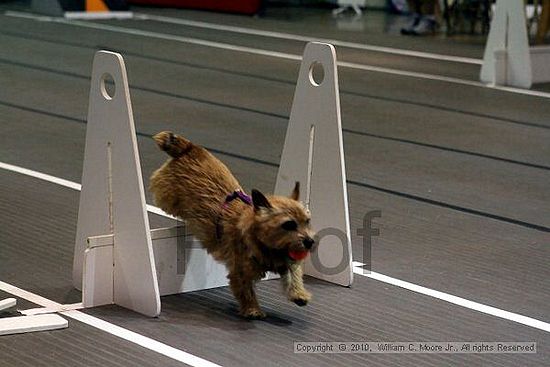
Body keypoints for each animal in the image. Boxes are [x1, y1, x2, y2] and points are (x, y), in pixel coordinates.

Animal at [150, 132, 314, 320]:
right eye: (289, 225)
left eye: (307, 221)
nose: (310, 242)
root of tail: (191, 148)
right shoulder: (240, 271)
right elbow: (247, 291)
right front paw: (253, 309)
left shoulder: (288, 259)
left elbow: (294, 274)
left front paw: (299, 294)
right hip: (167, 196)